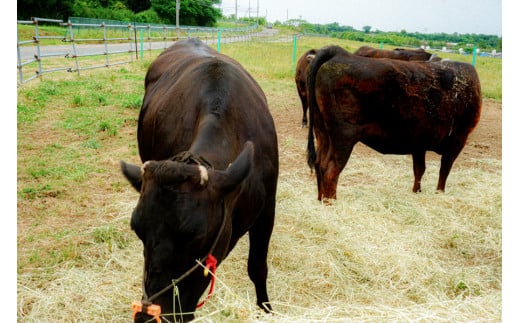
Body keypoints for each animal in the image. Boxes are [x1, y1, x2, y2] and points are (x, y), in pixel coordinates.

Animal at [120, 38, 278, 323]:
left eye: (195, 235)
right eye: (137, 230)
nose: (150, 317)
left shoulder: (268, 207)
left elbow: (258, 267)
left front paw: (266, 308)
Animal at [306, 44, 482, 201]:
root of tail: (339, 52)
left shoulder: (419, 143)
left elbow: (419, 169)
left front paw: (416, 192)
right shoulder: (458, 139)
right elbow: (444, 170)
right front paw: (439, 193)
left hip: (322, 133)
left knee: (319, 164)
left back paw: (321, 200)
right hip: (343, 137)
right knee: (331, 170)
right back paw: (331, 203)